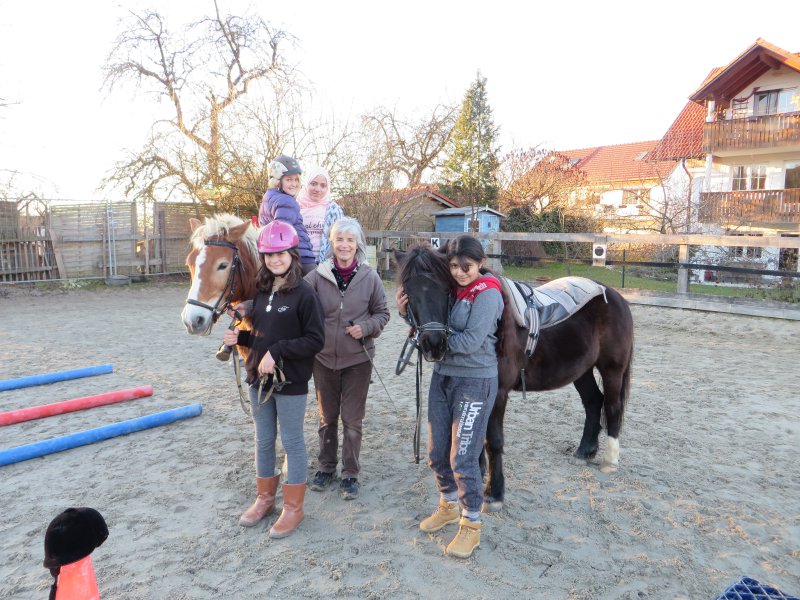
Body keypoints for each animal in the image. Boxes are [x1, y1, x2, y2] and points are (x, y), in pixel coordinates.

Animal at [396, 243, 636, 510]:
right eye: (407, 291)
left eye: (446, 288)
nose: (434, 344)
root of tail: (614, 295)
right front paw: (479, 473)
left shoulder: (498, 393)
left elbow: (493, 441)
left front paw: (494, 493)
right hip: (581, 370)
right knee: (594, 402)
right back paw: (584, 452)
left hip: (612, 369)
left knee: (612, 406)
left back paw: (610, 461)